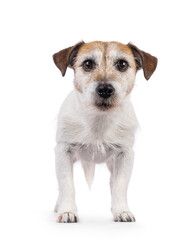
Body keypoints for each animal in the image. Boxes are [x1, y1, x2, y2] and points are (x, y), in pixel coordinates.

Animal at [52, 40, 158, 223]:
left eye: (122, 64)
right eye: (88, 64)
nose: (105, 89)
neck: (99, 120)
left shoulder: (125, 155)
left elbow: (119, 186)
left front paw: (122, 211)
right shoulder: (63, 151)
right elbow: (67, 184)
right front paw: (67, 211)